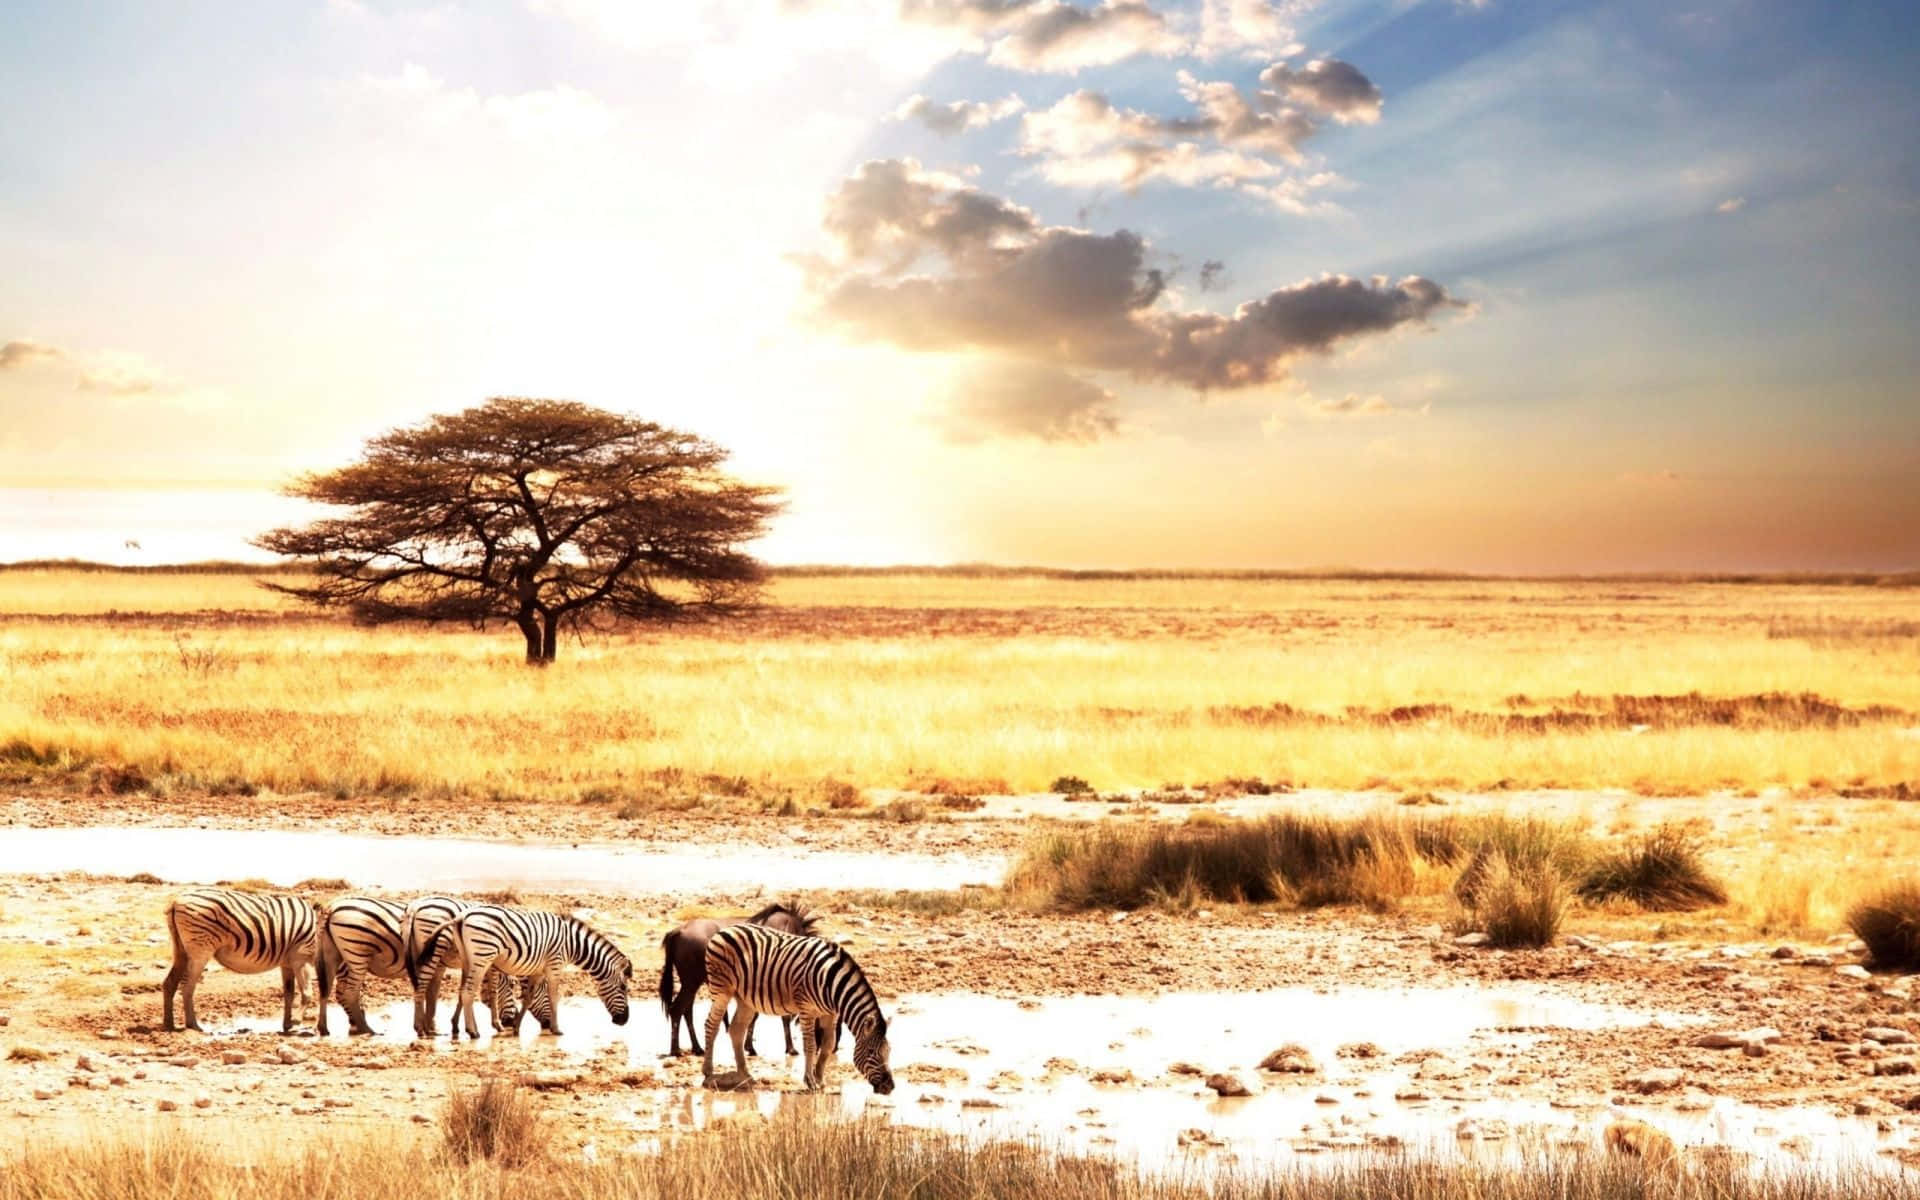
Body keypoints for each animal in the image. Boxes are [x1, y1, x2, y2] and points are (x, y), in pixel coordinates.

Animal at [161, 883, 318, 1036]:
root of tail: (176, 900)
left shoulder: (286, 963)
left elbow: (289, 993)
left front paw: (287, 1025)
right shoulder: (301, 957)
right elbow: (307, 992)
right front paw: (296, 1021)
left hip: (181, 950)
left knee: (170, 982)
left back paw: (169, 1025)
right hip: (201, 949)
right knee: (187, 985)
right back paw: (193, 1025)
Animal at [314, 894, 541, 1036]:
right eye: (513, 987)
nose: (511, 1021)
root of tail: (331, 906)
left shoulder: (456, 962)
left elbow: (447, 993)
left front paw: (440, 1026)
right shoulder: (486, 960)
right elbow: (491, 991)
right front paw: (496, 1024)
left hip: (334, 955)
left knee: (327, 990)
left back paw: (327, 1027)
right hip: (357, 953)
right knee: (348, 992)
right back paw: (365, 1028)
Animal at [420, 902, 629, 1036]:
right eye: (624, 988)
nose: (624, 1021)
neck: (572, 944)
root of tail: (461, 917)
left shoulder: (537, 970)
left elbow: (529, 997)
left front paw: (516, 1027)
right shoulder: (555, 965)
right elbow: (554, 997)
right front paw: (556, 1029)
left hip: (468, 958)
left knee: (463, 991)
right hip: (482, 956)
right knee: (468, 992)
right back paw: (473, 1032)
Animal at [656, 898, 821, 1059]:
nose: (818, 1049)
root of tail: (678, 931)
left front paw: (750, 1047)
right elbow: (778, 1016)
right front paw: (789, 1049)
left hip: (690, 983)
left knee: (686, 1011)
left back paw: (697, 1048)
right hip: (691, 982)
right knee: (676, 1009)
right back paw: (676, 1051)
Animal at [698, 917, 890, 1098]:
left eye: (889, 1051)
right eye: (872, 1052)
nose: (890, 1087)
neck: (831, 982)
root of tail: (725, 930)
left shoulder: (830, 1014)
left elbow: (828, 1045)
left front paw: (821, 1080)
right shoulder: (807, 1009)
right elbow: (811, 1045)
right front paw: (810, 1081)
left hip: (745, 999)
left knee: (736, 1030)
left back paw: (745, 1075)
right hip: (721, 990)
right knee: (711, 1025)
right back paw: (708, 1072)